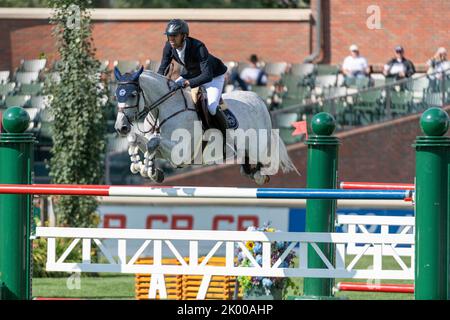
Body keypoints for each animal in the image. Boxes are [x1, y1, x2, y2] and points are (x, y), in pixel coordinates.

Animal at [113, 66, 298, 184]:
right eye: (116, 95)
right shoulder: (162, 150)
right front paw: (141, 166)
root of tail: (259, 100)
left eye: (133, 94)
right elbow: (137, 139)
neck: (162, 110)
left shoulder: (180, 153)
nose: (121, 127)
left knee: (264, 162)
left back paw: (260, 176)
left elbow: (153, 142)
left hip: (259, 146)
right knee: (246, 166)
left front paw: (150, 171)